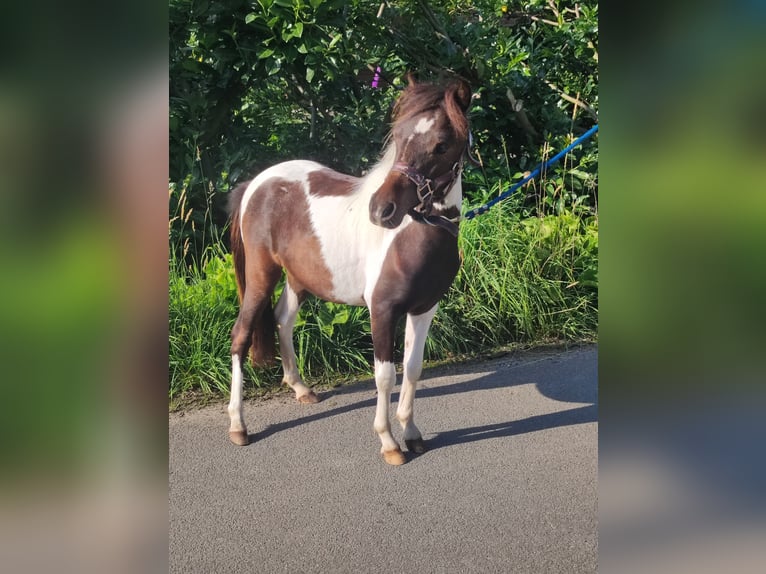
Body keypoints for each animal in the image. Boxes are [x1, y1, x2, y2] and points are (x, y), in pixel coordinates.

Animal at [225, 74, 472, 466]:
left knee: (282, 319)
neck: (413, 236)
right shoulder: (382, 311)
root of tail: (257, 184)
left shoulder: (424, 310)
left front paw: (412, 434)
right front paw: (389, 443)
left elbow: (413, 368)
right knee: (241, 335)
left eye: (442, 145)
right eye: (399, 136)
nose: (382, 210)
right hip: (261, 275)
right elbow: (385, 376)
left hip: (298, 279)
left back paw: (300, 388)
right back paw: (238, 425)